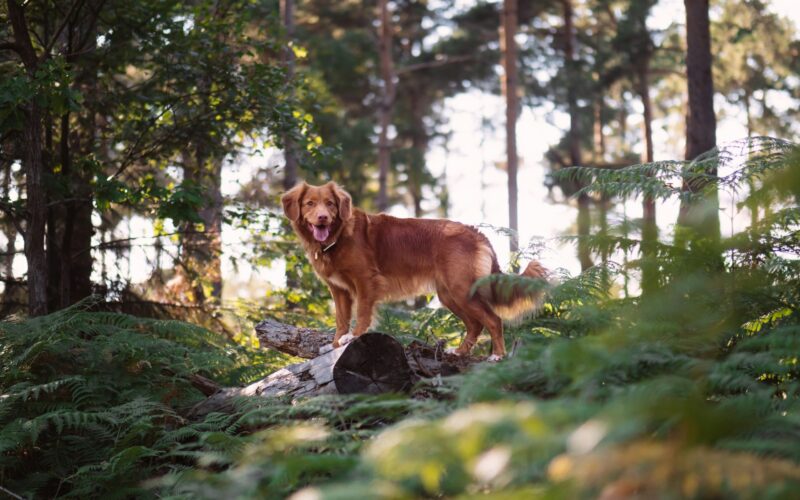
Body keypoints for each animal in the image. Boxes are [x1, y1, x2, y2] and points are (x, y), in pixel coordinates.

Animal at [278, 180, 548, 360]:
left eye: (330, 204)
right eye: (310, 203)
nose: (322, 217)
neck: (338, 237)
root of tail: (477, 233)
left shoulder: (366, 281)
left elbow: (362, 313)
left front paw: (354, 337)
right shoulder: (338, 289)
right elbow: (341, 319)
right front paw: (335, 344)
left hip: (461, 289)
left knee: (493, 319)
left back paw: (497, 356)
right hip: (449, 294)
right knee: (475, 324)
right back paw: (460, 351)